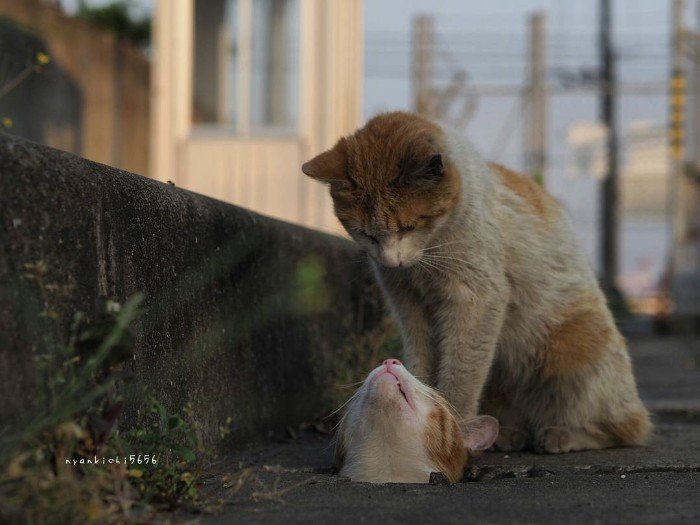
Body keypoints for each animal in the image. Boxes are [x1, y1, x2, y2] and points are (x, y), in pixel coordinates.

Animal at [300, 109, 652, 450]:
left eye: (409, 227)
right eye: (366, 234)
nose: (391, 260)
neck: (425, 261)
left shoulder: (476, 299)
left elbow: (461, 372)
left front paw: (451, 423)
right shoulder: (409, 306)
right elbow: (420, 362)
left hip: (574, 347)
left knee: (623, 427)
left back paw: (561, 435)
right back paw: (509, 435)